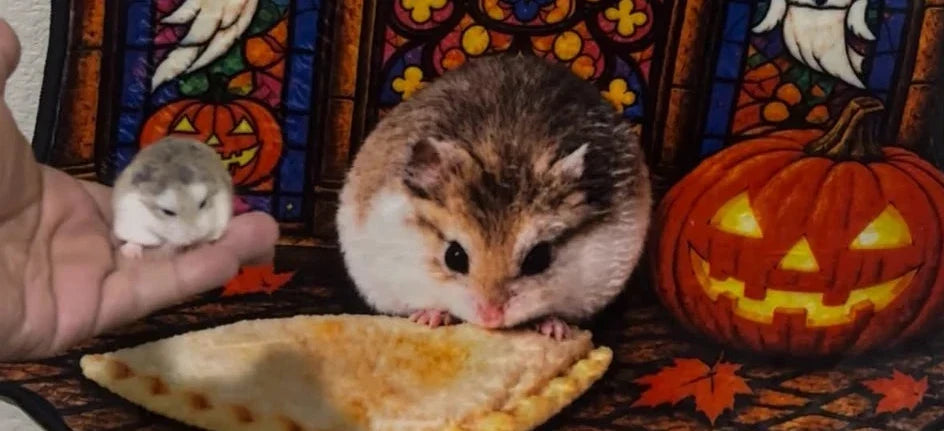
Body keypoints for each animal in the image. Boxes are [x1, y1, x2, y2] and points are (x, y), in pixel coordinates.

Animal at [337, 54, 652, 339]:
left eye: (538, 259)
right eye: (454, 257)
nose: (490, 319)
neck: (503, 156)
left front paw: (555, 329)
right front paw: (430, 317)